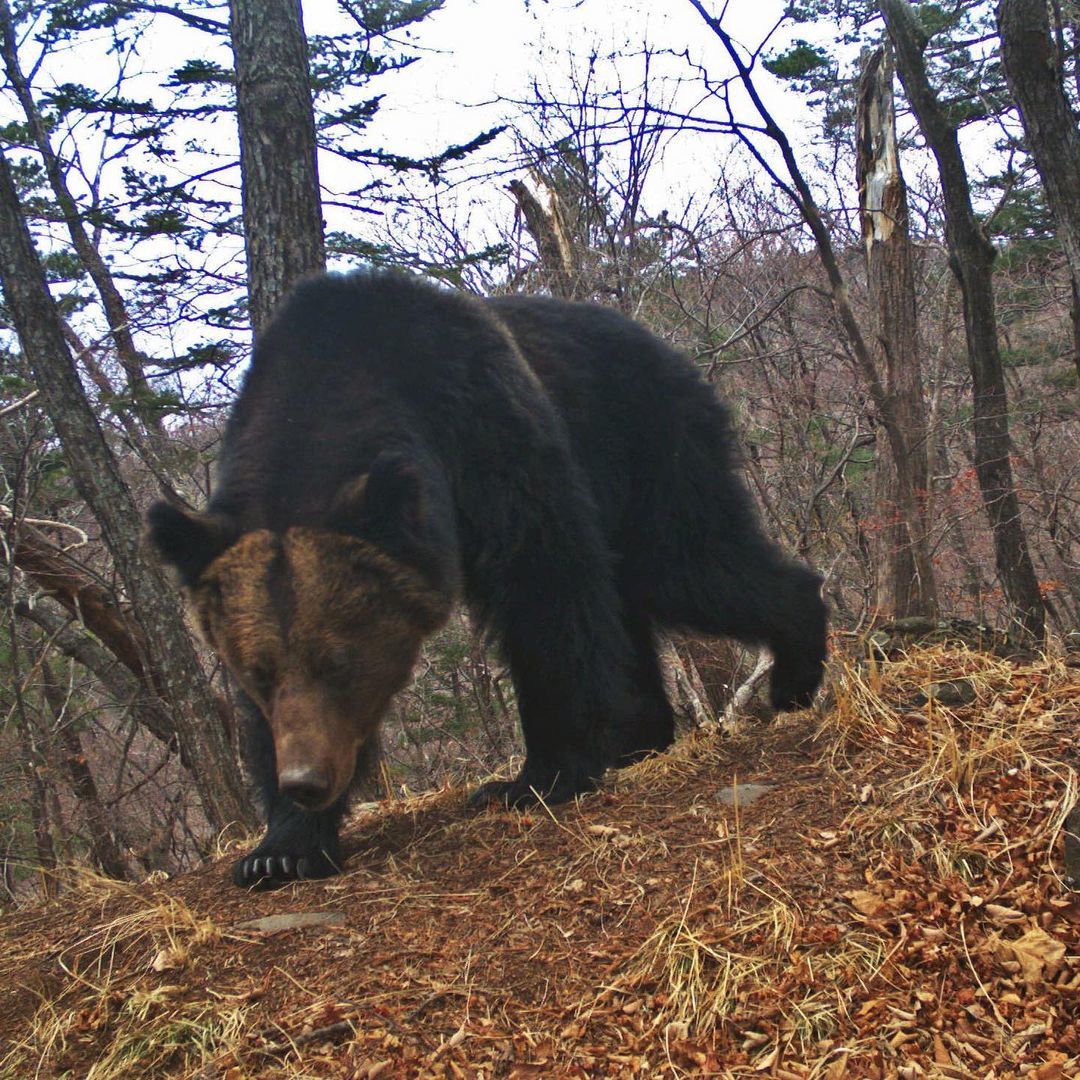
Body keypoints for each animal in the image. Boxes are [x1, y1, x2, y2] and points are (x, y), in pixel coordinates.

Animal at [147, 270, 825, 885]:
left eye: (338, 662)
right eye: (258, 671)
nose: (307, 782)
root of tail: (665, 345)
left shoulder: (486, 430)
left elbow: (544, 589)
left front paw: (536, 777)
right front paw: (280, 850)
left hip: (644, 446)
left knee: (687, 560)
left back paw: (794, 672)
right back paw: (643, 735)